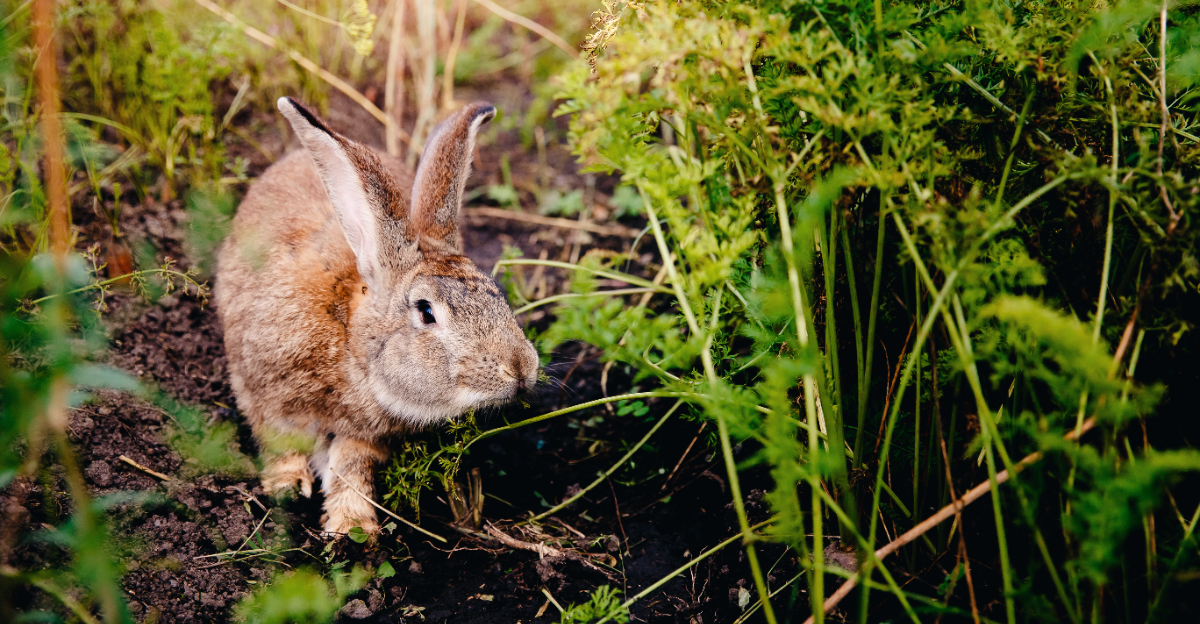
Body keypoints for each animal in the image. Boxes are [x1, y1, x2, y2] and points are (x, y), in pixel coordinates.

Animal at [214, 97, 540, 536]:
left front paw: (352, 527)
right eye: (426, 312)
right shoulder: (266, 395)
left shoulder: (364, 437)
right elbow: (281, 444)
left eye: (496, 293)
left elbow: (351, 467)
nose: (521, 369)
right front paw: (286, 488)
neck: (350, 340)